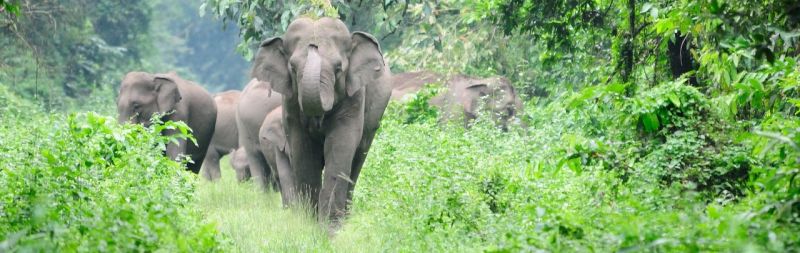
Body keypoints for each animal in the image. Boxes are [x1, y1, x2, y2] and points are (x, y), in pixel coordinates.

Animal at [252, 17, 392, 227]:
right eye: (292, 68)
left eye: (338, 68)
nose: (313, 45)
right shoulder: (290, 103)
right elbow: (303, 150)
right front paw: (309, 224)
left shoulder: (354, 97)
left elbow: (340, 147)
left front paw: (330, 228)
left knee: (357, 160)